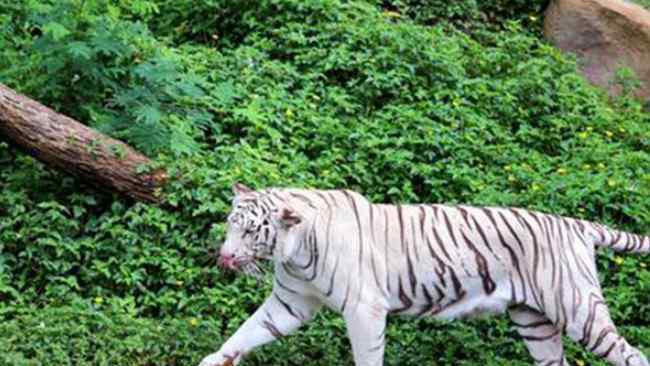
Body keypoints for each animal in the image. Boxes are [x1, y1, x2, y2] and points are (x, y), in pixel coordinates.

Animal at [199, 184, 648, 366]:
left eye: (251, 231)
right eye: (230, 223)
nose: (224, 257)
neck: (294, 253)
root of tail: (575, 224)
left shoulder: (364, 309)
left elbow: (367, 357)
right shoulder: (291, 303)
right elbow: (246, 332)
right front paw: (215, 359)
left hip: (577, 309)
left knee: (632, 355)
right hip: (534, 321)